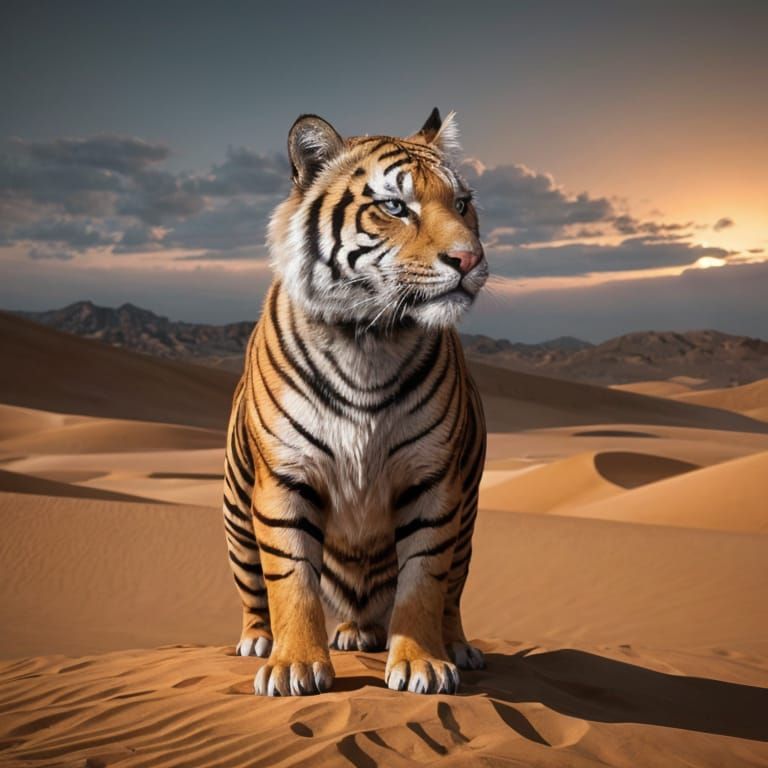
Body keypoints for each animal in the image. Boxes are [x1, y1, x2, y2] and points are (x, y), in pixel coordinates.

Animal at [222, 108, 488, 696]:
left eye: (462, 203)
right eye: (395, 206)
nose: (469, 259)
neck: (370, 338)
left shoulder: (432, 481)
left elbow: (424, 582)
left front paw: (422, 663)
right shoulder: (285, 478)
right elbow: (290, 580)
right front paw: (294, 666)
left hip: (468, 518)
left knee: (454, 588)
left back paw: (449, 644)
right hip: (236, 507)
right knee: (252, 585)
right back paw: (261, 641)